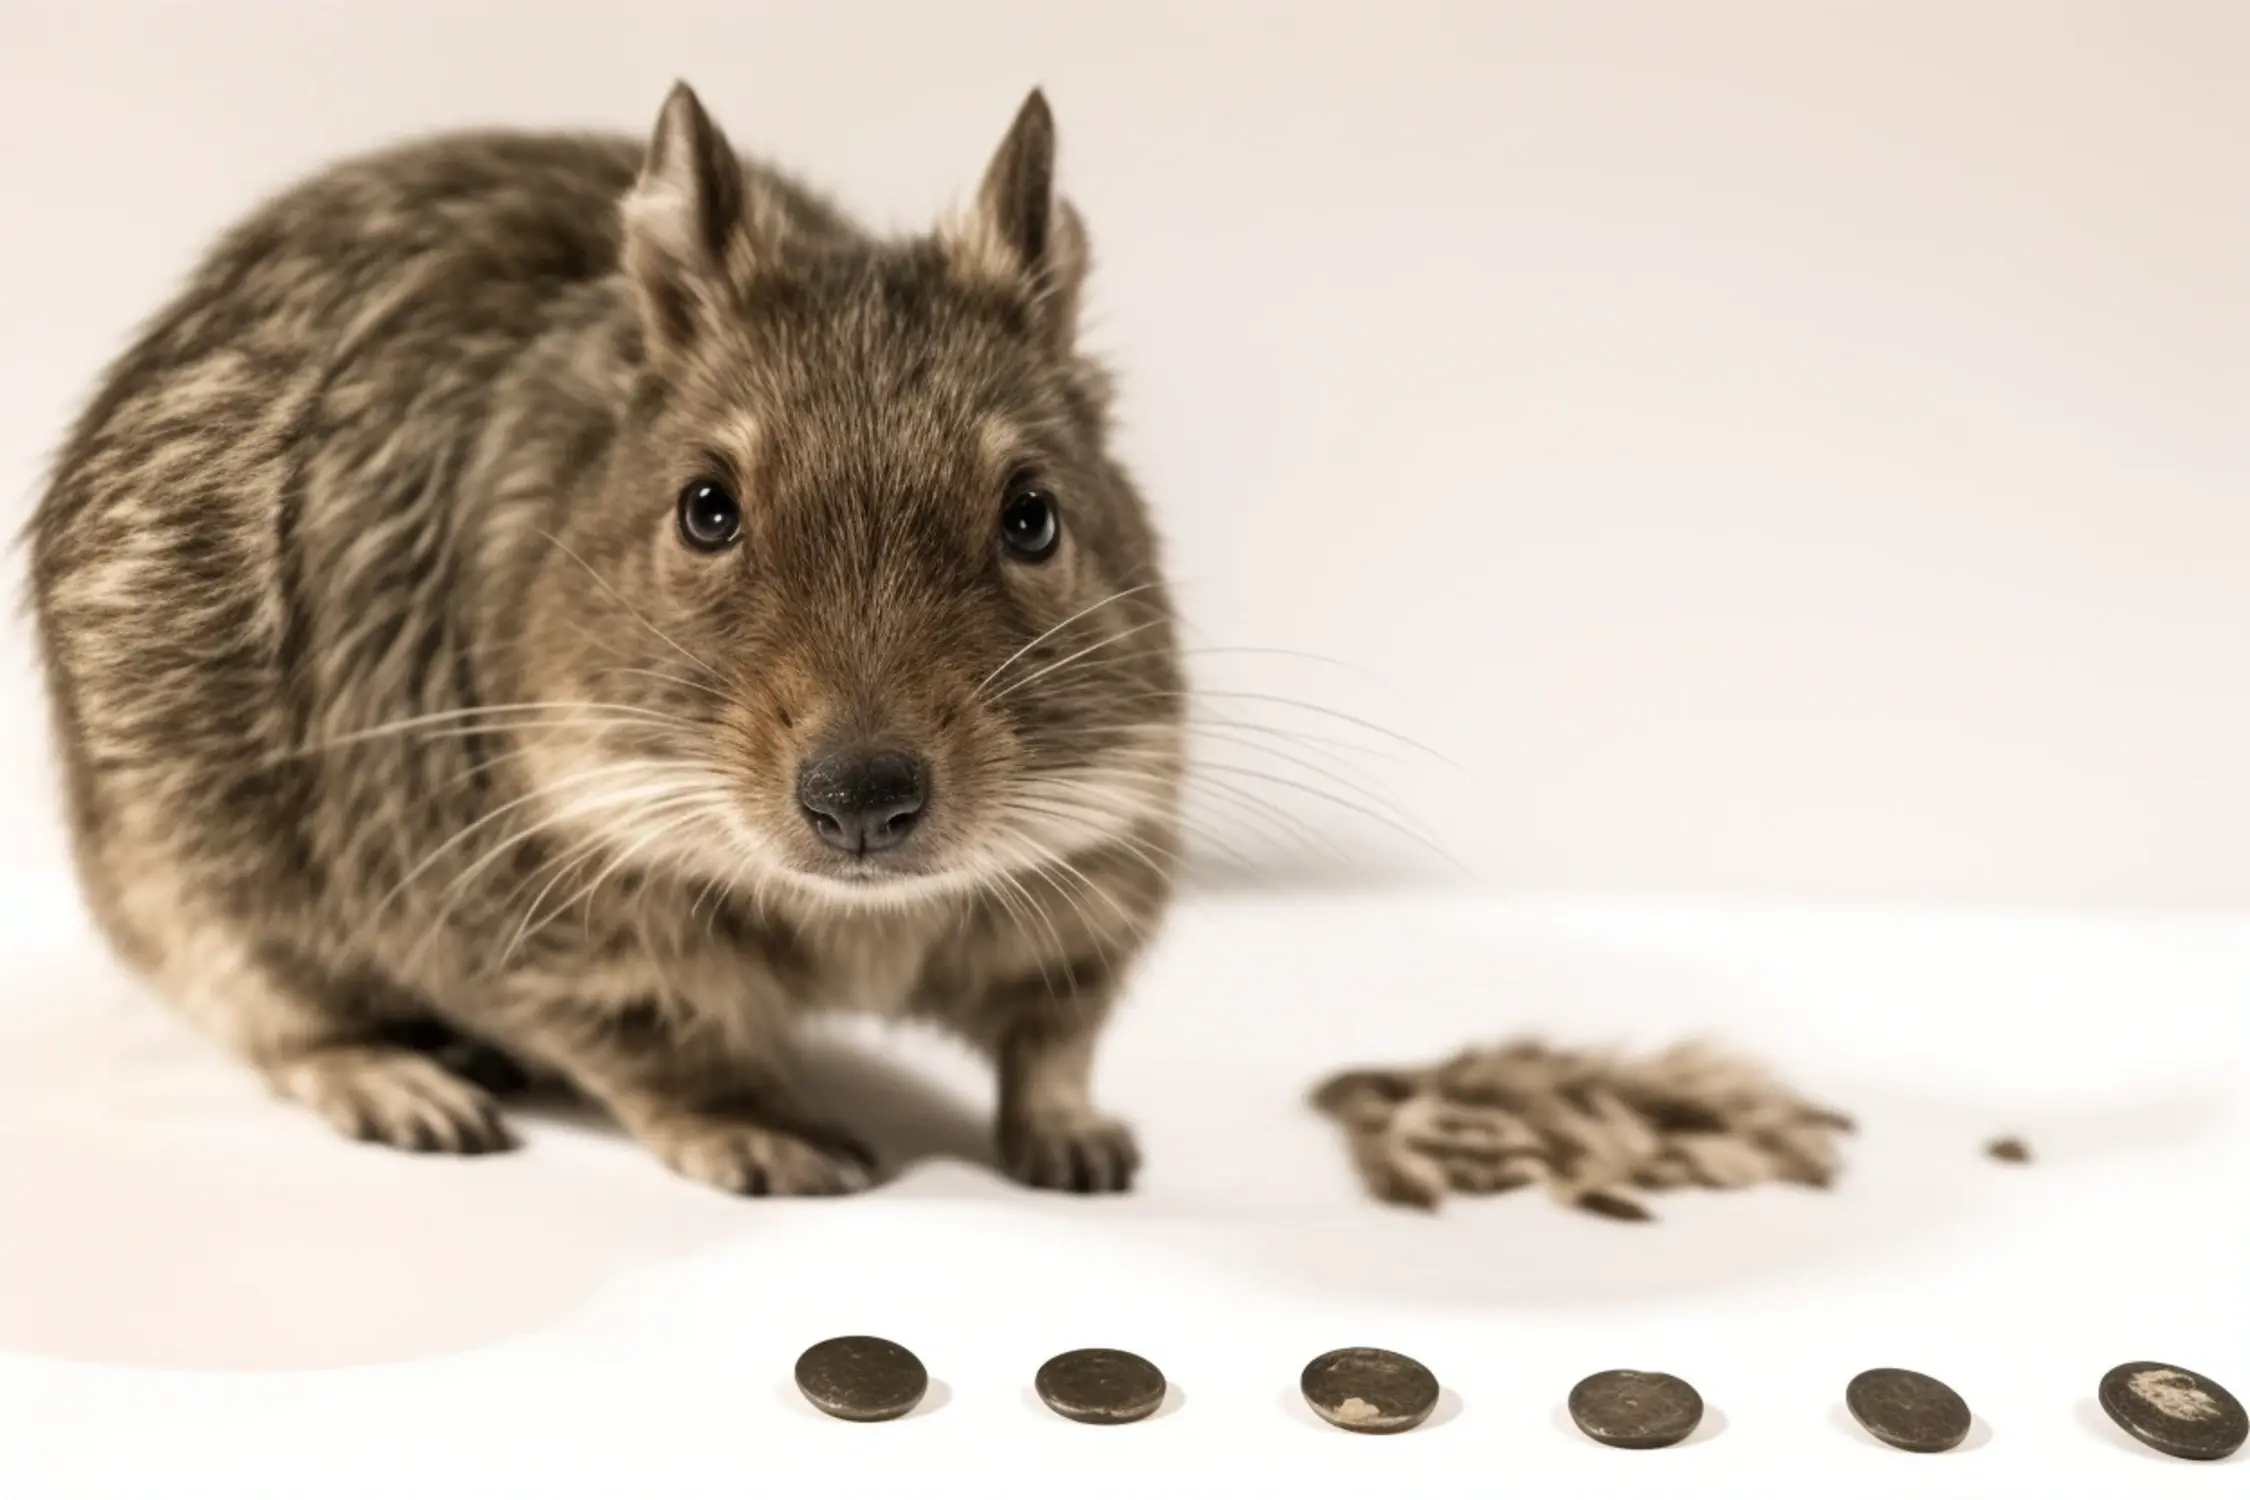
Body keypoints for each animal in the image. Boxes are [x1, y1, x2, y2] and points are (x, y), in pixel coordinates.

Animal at [24, 83, 1183, 1196]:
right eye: (706, 508)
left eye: (1033, 517)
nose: (862, 799)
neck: (855, 923)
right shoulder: (537, 920)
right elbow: (664, 1050)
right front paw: (769, 1138)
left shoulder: (1100, 857)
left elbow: (1056, 1042)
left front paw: (1079, 1142)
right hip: (177, 880)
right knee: (274, 1017)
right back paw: (403, 1083)